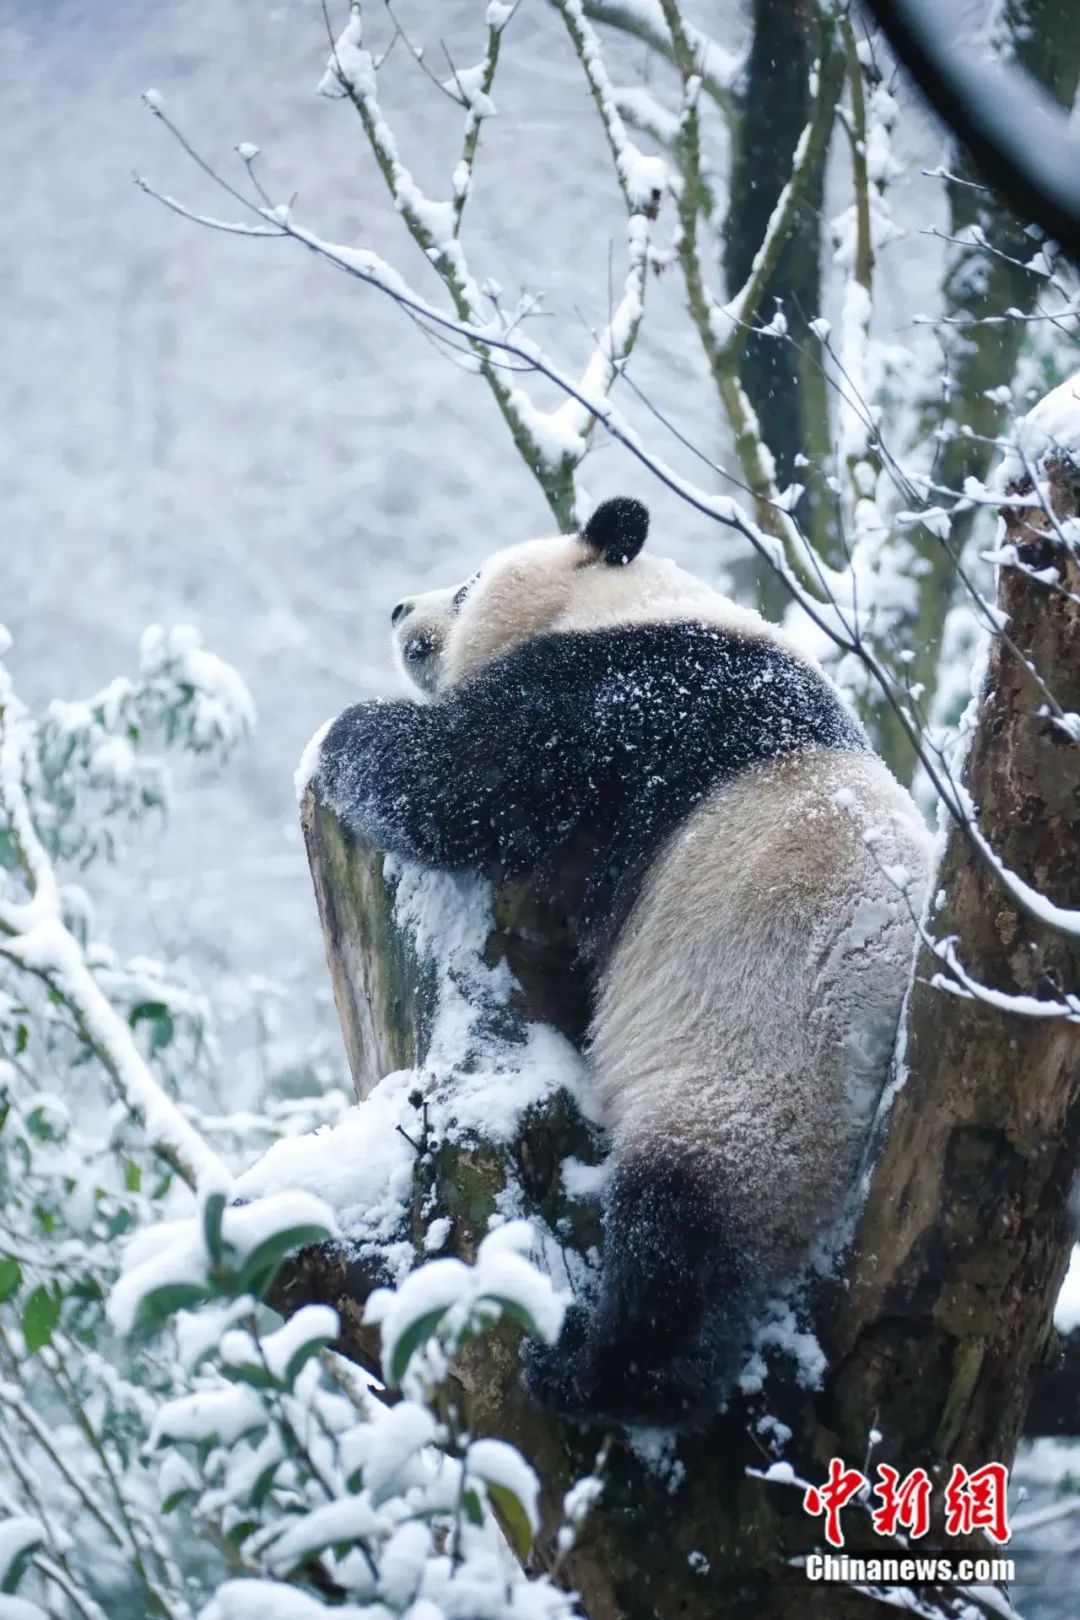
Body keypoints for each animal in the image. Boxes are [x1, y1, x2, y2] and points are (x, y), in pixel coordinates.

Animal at [317, 495, 932, 1432]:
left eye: (466, 587)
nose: (398, 612)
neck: (637, 598)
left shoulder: (620, 700)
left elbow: (464, 785)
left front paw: (341, 731)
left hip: (761, 1083)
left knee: (680, 1235)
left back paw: (597, 1373)